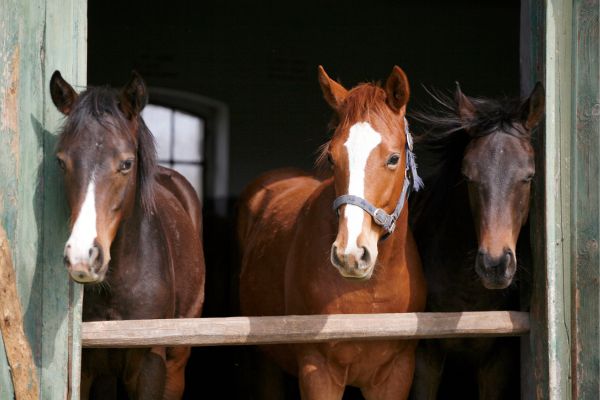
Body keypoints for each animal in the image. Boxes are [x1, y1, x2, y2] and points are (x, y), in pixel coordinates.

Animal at [49, 72, 204, 400]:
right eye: (61, 162)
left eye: (126, 163)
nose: (82, 257)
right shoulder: (88, 368)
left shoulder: (150, 365)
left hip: (176, 362)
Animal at [239, 67, 426, 398]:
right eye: (331, 157)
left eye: (393, 158)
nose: (351, 254)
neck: (370, 292)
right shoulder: (318, 372)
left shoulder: (397, 373)